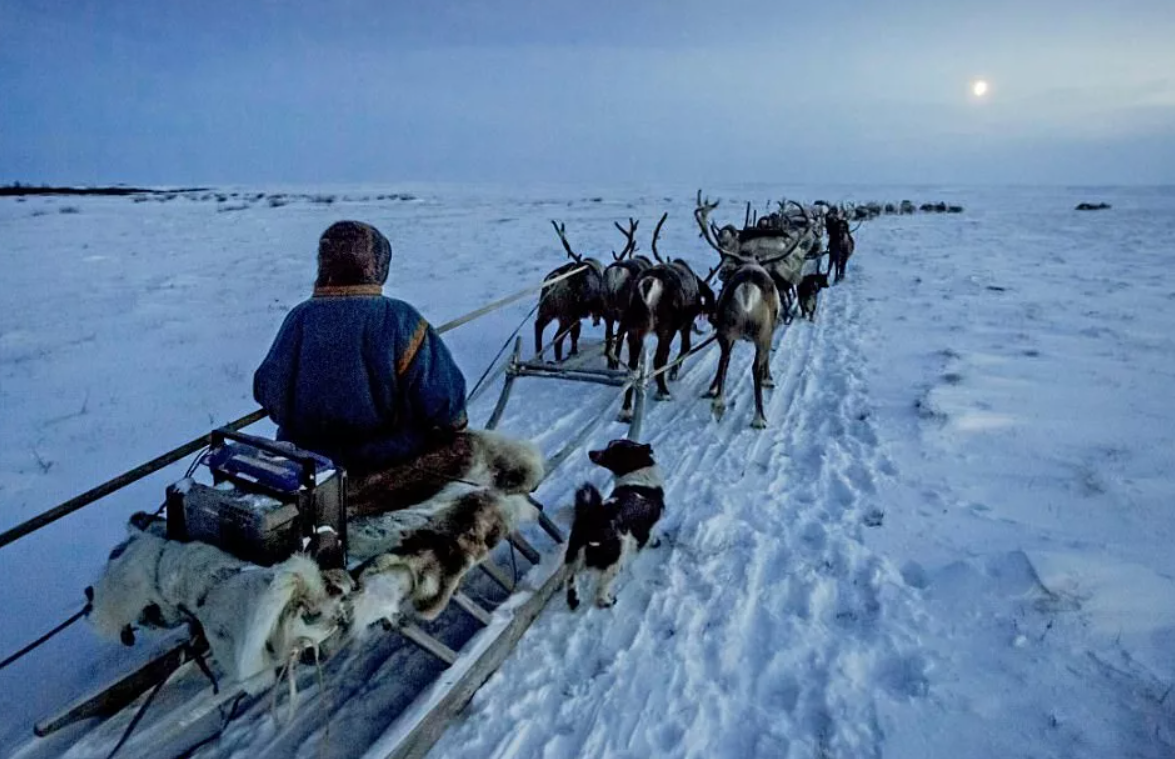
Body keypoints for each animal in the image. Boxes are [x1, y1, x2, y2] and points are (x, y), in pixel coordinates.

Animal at [566, 439, 667, 610]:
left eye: (612, 450)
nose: (591, 453)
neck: (637, 473)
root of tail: (590, 518)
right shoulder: (647, 526)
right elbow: (649, 536)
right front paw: (654, 542)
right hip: (615, 559)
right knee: (600, 589)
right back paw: (607, 601)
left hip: (575, 556)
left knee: (570, 578)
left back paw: (575, 600)